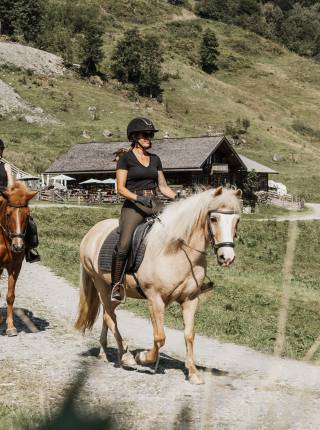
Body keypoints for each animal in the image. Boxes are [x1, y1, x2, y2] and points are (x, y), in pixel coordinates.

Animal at [74, 186, 240, 384]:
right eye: (213, 218)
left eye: (237, 220)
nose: (227, 257)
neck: (177, 251)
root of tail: (92, 232)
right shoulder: (155, 300)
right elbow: (160, 337)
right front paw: (143, 357)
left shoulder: (190, 300)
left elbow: (189, 335)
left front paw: (193, 373)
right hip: (101, 285)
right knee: (109, 317)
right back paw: (126, 356)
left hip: (112, 293)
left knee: (108, 315)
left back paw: (105, 352)